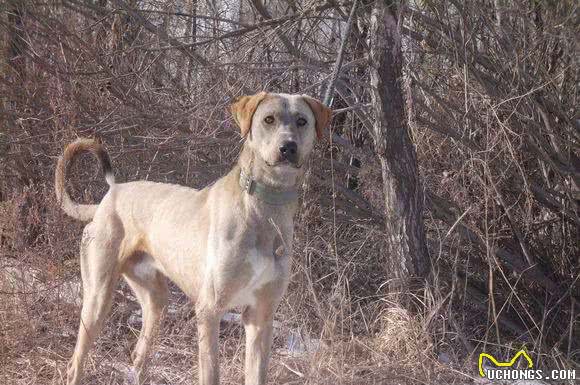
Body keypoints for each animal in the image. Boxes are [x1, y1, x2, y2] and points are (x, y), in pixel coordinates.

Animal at [56, 93, 334, 384]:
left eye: (302, 121)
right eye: (269, 119)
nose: (287, 147)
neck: (264, 208)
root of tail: (110, 195)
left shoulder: (261, 316)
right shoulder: (209, 311)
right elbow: (211, 372)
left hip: (155, 302)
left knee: (140, 355)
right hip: (97, 297)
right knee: (76, 362)